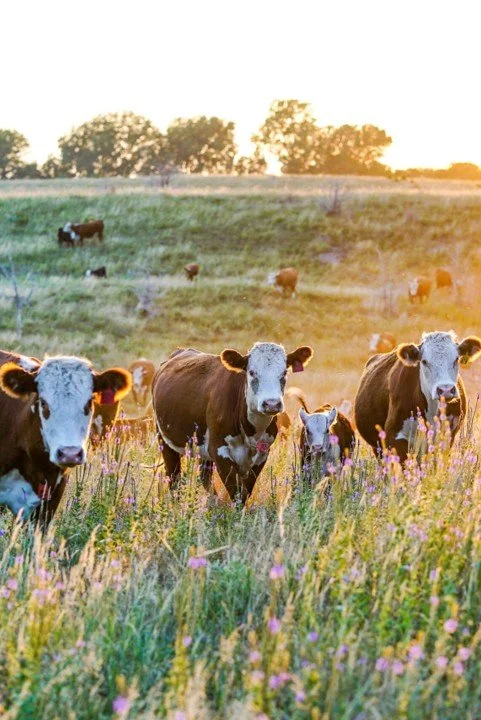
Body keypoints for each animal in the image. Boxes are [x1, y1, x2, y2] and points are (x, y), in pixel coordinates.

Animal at [152, 342, 313, 502]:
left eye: (284, 372)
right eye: (252, 372)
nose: (272, 404)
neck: (251, 432)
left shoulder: (262, 454)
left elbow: (246, 490)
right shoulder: (219, 451)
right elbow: (237, 492)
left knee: (204, 476)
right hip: (164, 441)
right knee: (174, 478)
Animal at [354, 331, 481, 463]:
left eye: (456, 359)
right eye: (424, 361)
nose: (445, 389)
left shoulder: (446, 437)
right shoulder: (395, 437)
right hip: (377, 447)